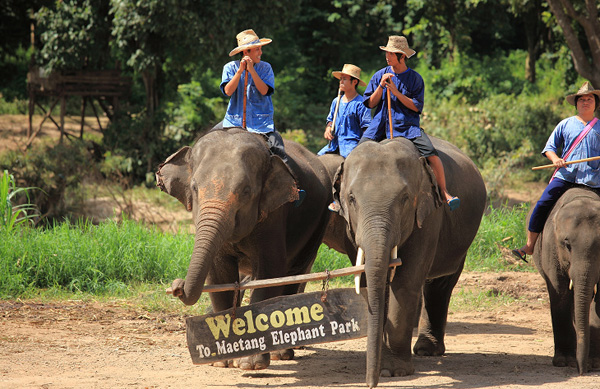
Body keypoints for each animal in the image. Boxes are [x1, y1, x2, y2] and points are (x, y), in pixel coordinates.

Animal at [155, 127, 332, 370]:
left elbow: (269, 274)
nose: (177, 286)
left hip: (319, 222)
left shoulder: (274, 215)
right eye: (194, 188)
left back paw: (280, 354)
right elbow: (219, 277)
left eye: (246, 191)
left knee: (292, 276)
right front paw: (222, 361)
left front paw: (251, 363)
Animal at [332, 136, 488, 384]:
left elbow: (405, 283)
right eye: (351, 198)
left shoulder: (429, 216)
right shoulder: (351, 230)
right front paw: (382, 366)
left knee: (441, 283)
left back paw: (426, 350)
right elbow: (369, 282)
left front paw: (393, 372)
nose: (370, 384)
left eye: (405, 199)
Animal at [528, 186, 600, 374]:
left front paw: (595, 363)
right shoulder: (551, 246)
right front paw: (565, 362)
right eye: (567, 245)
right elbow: (559, 292)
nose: (581, 372)